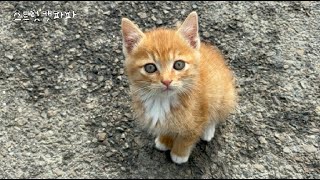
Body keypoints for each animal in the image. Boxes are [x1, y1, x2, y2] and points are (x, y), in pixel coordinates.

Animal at [121, 11, 236, 165]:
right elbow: (168, 129)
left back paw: (208, 130)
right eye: (150, 67)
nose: (166, 81)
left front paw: (179, 154)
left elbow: (187, 137)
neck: (162, 101)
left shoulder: (199, 114)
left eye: (179, 65)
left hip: (224, 95)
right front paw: (165, 140)